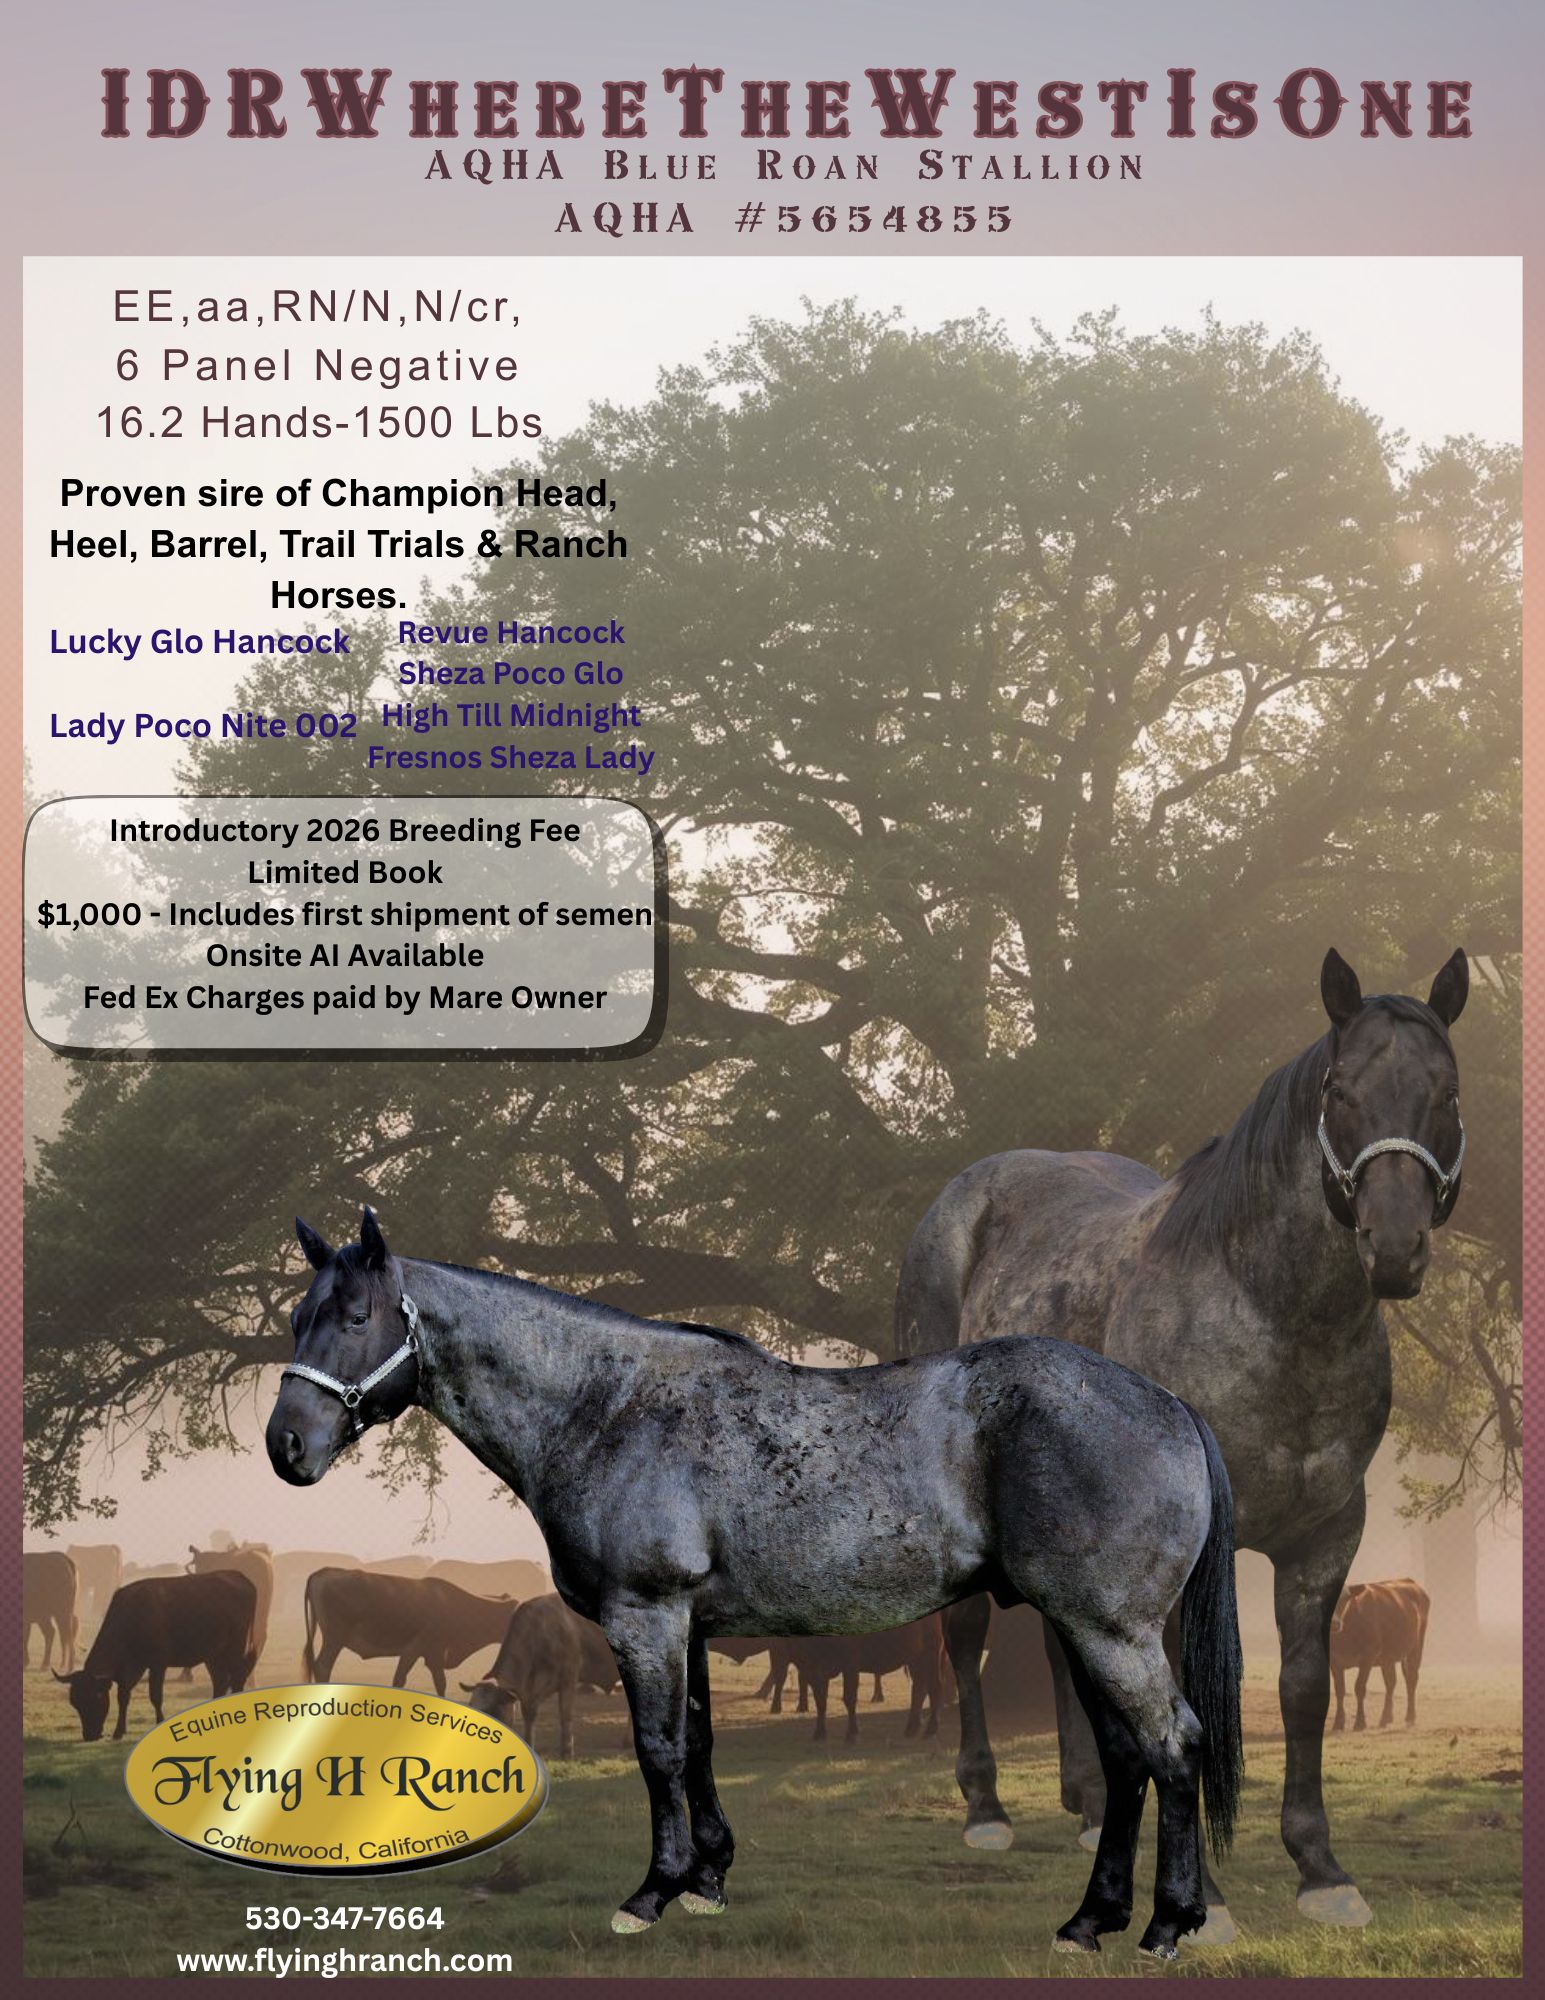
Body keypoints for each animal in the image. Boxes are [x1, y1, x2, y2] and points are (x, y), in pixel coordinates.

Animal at [266, 1208, 1243, 1957]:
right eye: (295, 1316)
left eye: (355, 1315)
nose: (287, 1447)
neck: (606, 1408)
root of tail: (1171, 1405)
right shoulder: (688, 1626)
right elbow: (697, 1744)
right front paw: (708, 1880)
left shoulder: (646, 1617)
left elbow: (657, 1751)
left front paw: (651, 1894)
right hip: (1080, 1628)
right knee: (1126, 1758)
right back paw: (1089, 1921)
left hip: (1108, 1630)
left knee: (1172, 1747)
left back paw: (1169, 1924)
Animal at [894, 947, 1468, 1940]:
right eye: (1340, 1089)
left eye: (1445, 1089)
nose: (1393, 1248)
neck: (1271, 1313)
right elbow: (1184, 1701)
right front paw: (1207, 1899)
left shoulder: (1327, 1536)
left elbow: (1305, 1689)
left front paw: (1322, 1873)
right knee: (966, 1637)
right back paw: (986, 1812)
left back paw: (1092, 1808)